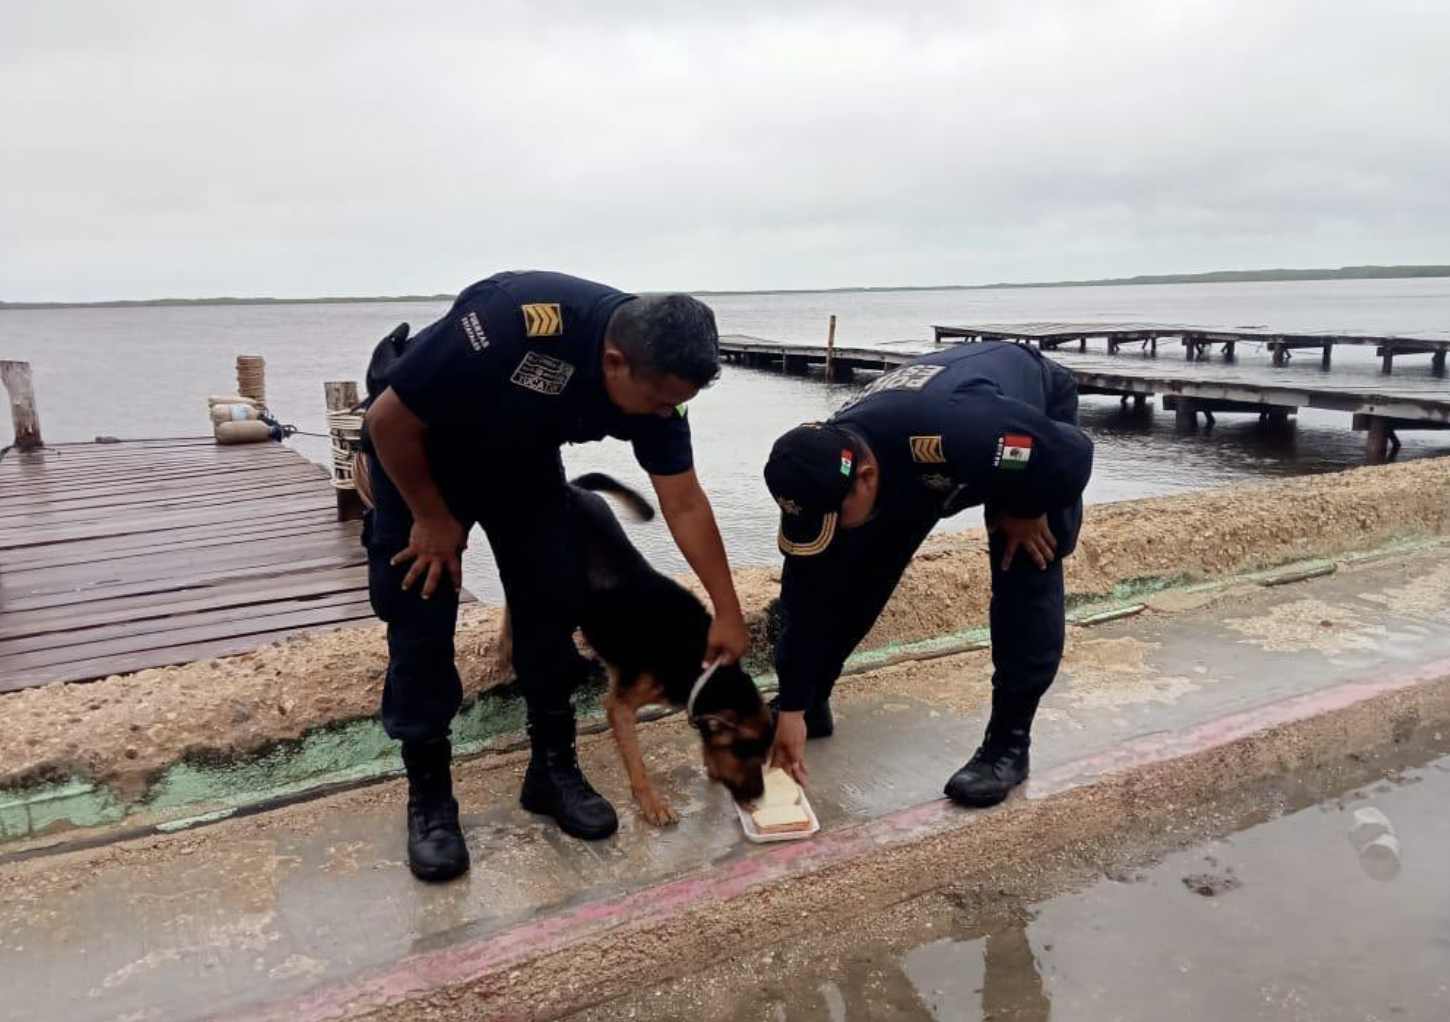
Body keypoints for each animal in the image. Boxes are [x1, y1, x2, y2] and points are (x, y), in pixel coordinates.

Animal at [498, 475, 777, 823]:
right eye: (744, 752)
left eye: (764, 754)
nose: (758, 797)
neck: (698, 666)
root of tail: (572, 489)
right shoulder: (619, 706)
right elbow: (636, 761)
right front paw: (651, 804)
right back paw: (506, 644)